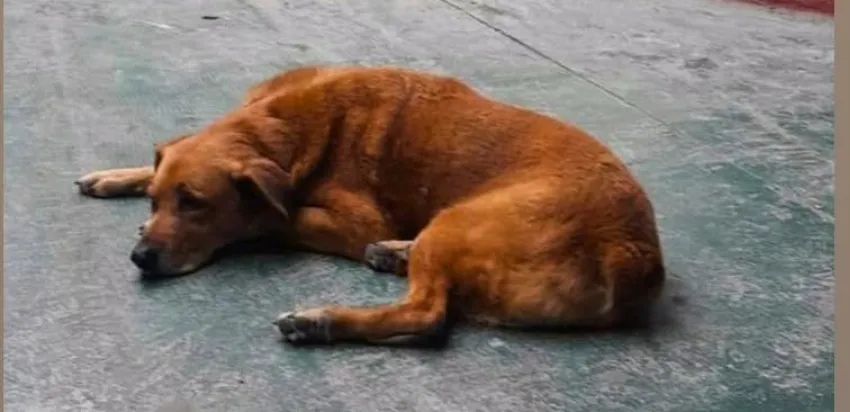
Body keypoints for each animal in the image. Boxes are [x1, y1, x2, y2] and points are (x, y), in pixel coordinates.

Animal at [75, 66, 665, 346]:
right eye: (159, 201)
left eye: (195, 204)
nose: (140, 258)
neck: (285, 124)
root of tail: (632, 254)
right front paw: (115, 177)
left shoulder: (355, 220)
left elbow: (273, 216)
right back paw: (394, 254)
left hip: (456, 220)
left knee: (426, 314)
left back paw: (321, 321)